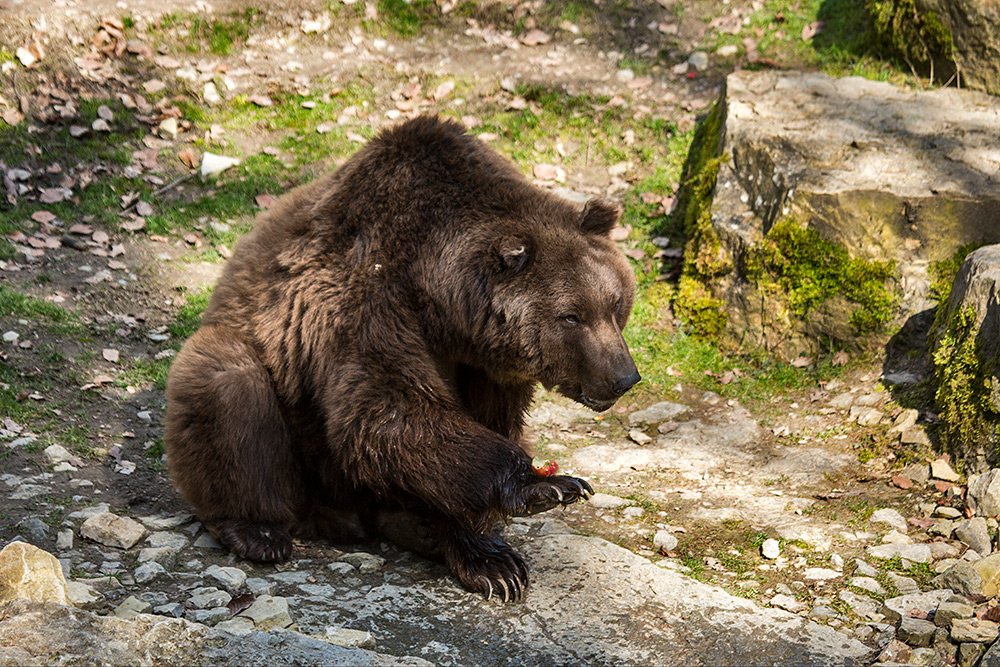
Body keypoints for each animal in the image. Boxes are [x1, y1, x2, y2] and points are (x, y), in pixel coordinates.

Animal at [161, 116, 636, 604]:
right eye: (571, 316)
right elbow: (386, 411)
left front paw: (488, 556)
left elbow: (466, 431)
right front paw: (548, 487)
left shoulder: (485, 368)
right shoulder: (367, 296)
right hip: (279, 402)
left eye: (616, 303)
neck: (443, 306)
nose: (623, 377)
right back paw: (257, 530)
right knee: (227, 384)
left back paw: (418, 529)